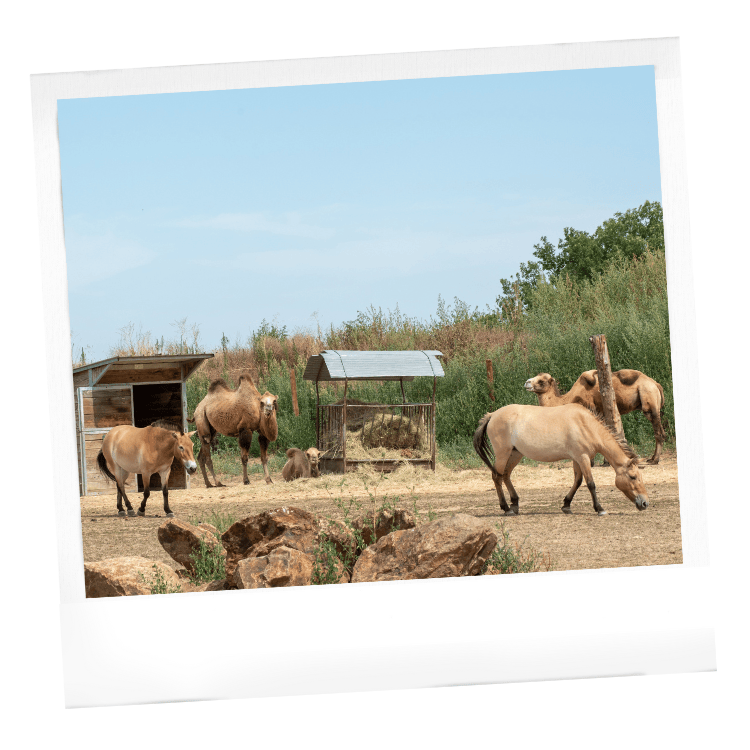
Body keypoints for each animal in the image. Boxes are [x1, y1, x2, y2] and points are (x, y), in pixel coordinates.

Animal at [473, 403, 649, 516]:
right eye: (633, 477)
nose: (645, 503)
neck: (586, 425)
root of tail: (492, 415)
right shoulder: (582, 457)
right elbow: (590, 483)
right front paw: (599, 509)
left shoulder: (577, 459)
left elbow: (577, 481)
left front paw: (566, 505)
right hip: (503, 454)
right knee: (497, 477)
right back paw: (506, 508)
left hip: (515, 454)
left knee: (506, 475)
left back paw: (514, 504)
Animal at [524, 369, 667, 464]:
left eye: (541, 381)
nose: (526, 382)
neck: (570, 398)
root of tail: (656, 384)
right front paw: (604, 461)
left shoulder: (592, 411)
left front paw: (594, 462)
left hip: (649, 399)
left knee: (658, 431)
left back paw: (654, 460)